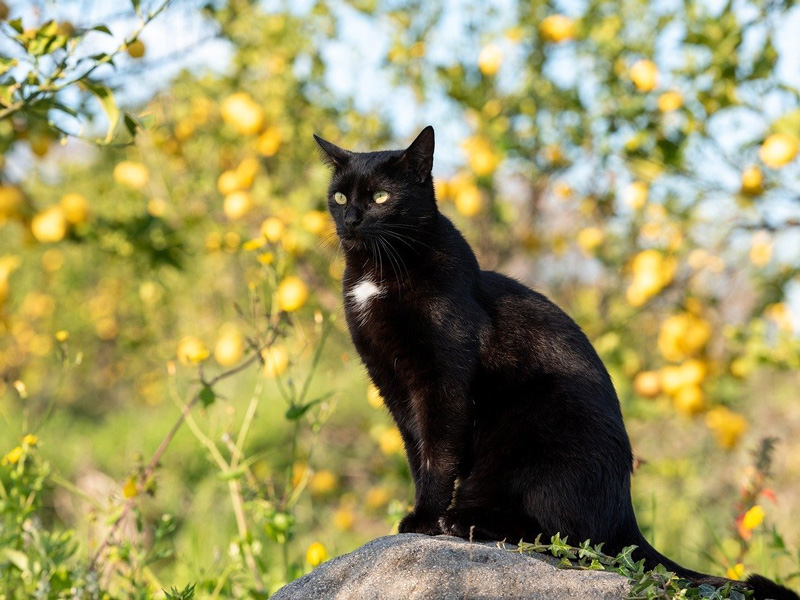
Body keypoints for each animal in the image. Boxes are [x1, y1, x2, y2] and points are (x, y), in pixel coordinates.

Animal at [314, 126, 800, 600]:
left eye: (380, 197)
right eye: (338, 196)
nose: (351, 219)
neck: (376, 273)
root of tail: (626, 513)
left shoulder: (442, 381)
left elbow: (438, 453)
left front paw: (425, 520)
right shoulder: (392, 384)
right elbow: (418, 452)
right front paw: (420, 515)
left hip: (542, 425)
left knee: (567, 536)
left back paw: (466, 520)